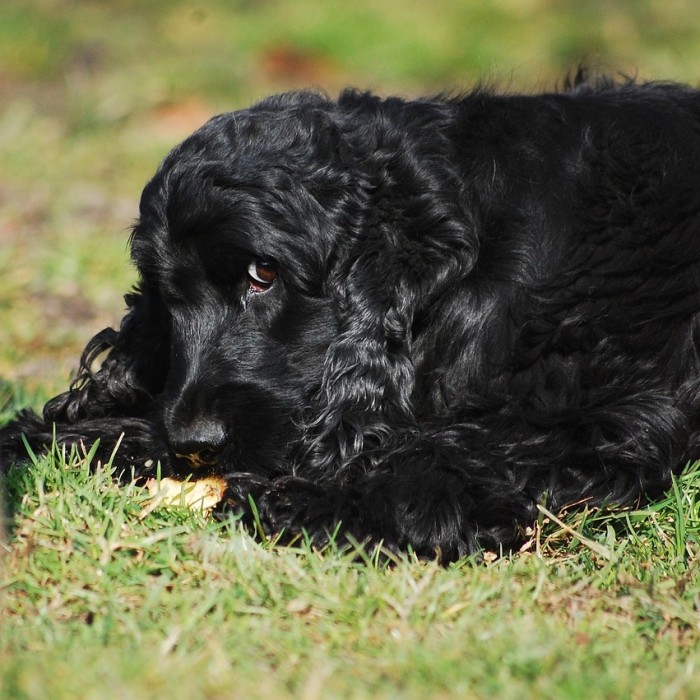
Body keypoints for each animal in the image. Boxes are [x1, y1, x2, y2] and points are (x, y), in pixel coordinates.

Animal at [1, 76, 700, 560]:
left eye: (263, 274)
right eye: (165, 294)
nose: (194, 444)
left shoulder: (611, 408)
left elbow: (466, 447)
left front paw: (320, 500)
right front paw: (46, 437)